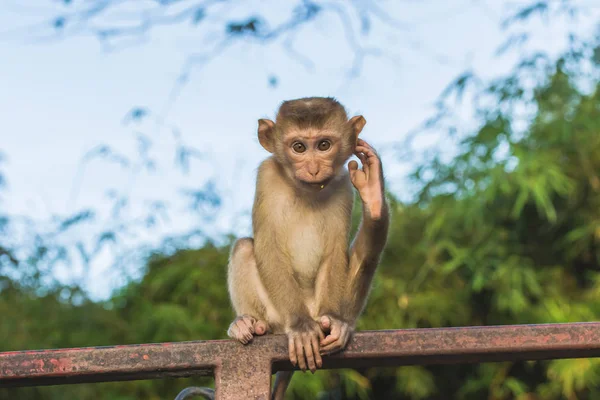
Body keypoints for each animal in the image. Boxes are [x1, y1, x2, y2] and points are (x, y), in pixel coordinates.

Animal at [225, 97, 390, 400]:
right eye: (299, 147)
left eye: (323, 145)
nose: (313, 168)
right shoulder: (266, 176)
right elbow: (267, 246)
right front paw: (301, 327)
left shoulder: (342, 185)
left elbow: (335, 253)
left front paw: (372, 192)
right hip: (276, 316)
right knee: (244, 247)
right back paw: (248, 324)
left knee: (366, 257)